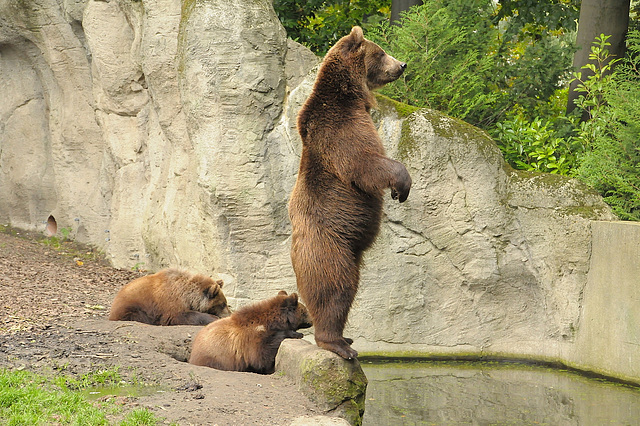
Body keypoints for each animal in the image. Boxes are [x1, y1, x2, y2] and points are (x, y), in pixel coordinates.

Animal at [288, 26, 412, 360]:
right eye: (380, 52)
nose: (402, 65)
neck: (352, 95)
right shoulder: (339, 127)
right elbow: (363, 162)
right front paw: (401, 186)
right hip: (330, 247)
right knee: (335, 289)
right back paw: (338, 343)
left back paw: (347, 337)